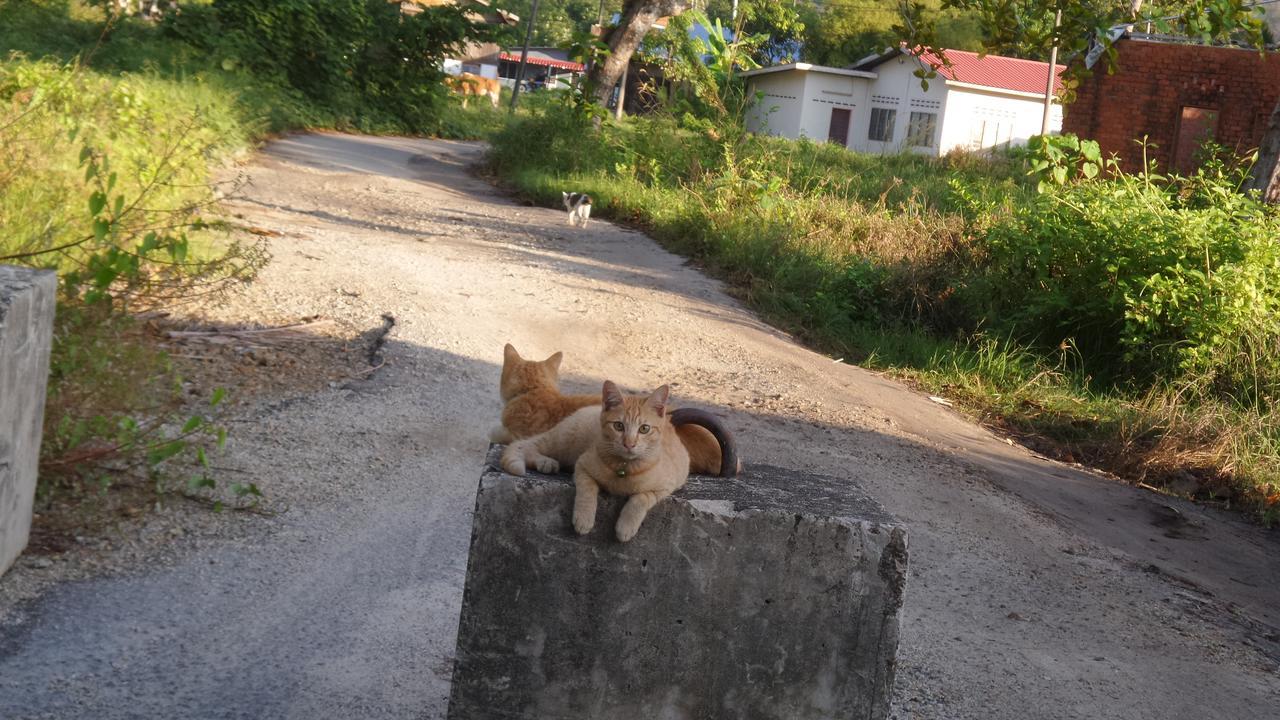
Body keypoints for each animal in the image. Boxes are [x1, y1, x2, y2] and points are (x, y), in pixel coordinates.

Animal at [496, 381, 691, 538]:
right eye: (618, 426)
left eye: (644, 429)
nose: (629, 443)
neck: (623, 468)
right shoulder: (582, 466)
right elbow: (587, 491)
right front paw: (584, 519)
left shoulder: (666, 486)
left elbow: (641, 499)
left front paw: (625, 527)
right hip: (564, 442)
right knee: (526, 445)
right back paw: (545, 462)